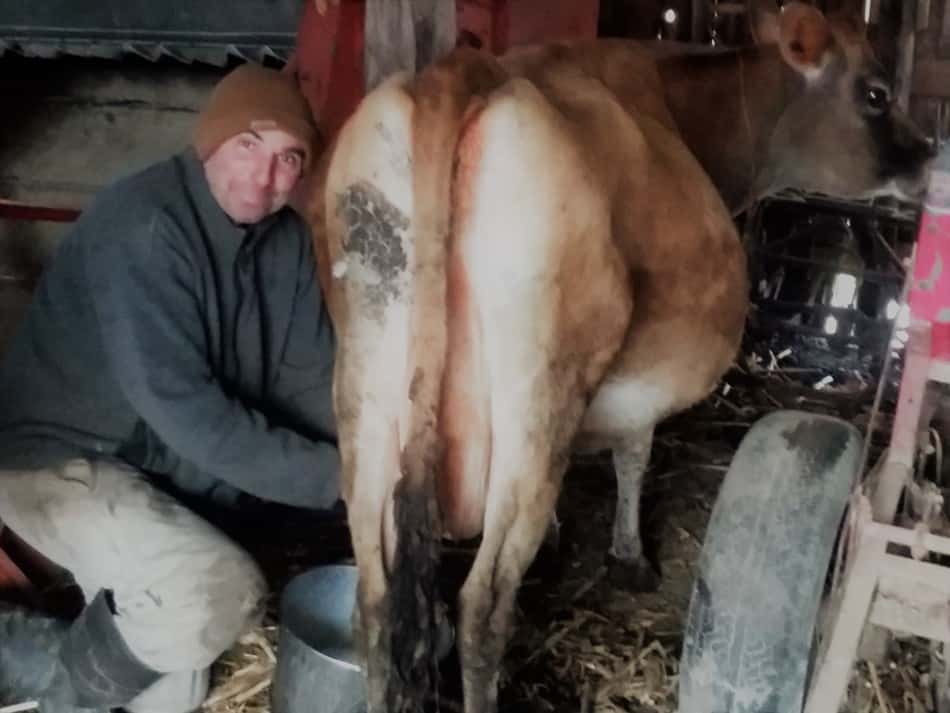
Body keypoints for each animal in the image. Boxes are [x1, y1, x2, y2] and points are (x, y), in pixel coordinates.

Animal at [302, 2, 932, 708]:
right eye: (876, 94)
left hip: (367, 379)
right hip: (539, 393)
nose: (930, 153)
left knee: (375, 597)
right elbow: (635, 455)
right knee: (483, 605)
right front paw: (629, 554)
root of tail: (461, 71)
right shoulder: (642, 381)